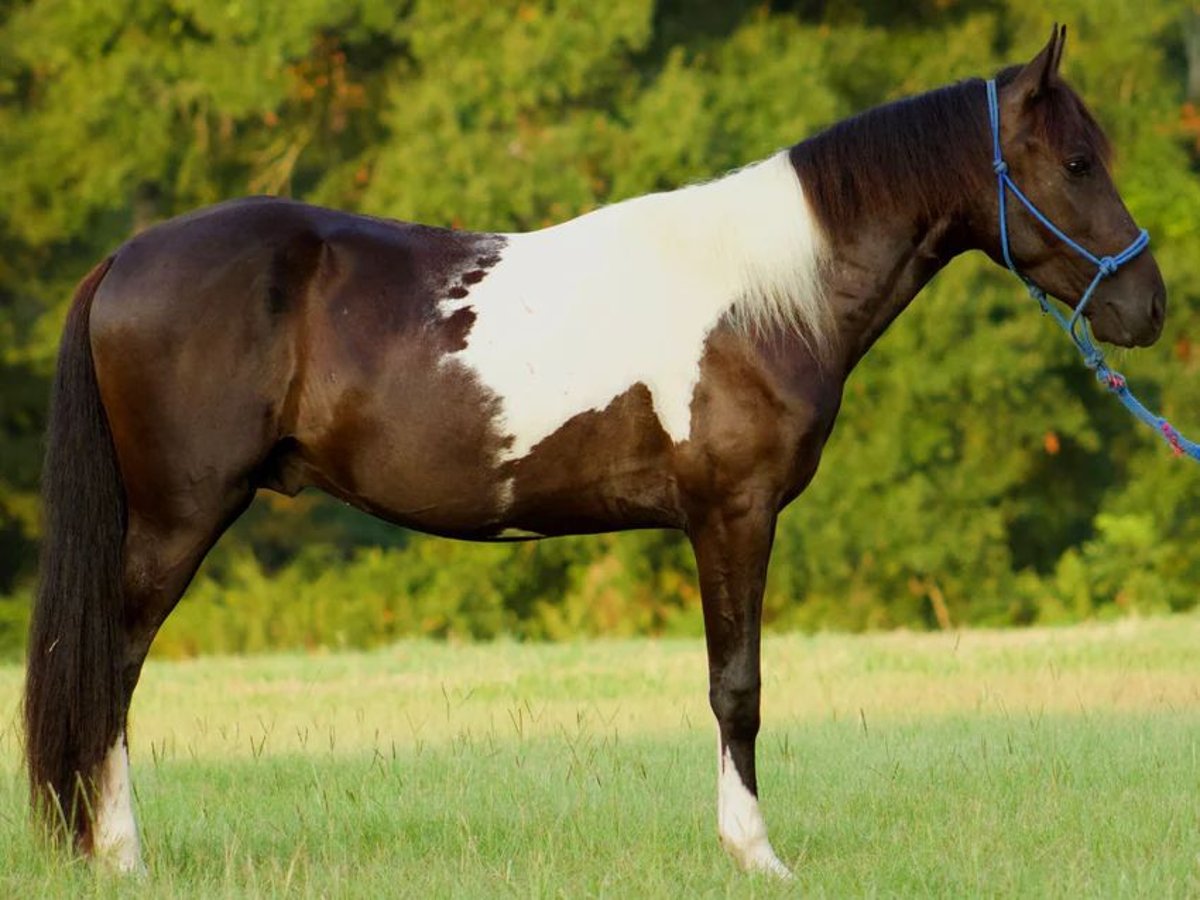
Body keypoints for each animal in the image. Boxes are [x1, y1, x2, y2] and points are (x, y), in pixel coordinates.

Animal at [23, 28, 1161, 883]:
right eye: (1076, 163)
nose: (1148, 307)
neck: (763, 295)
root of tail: (126, 258)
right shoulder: (732, 514)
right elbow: (737, 688)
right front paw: (757, 854)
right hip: (176, 520)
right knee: (108, 672)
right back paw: (122, 856)